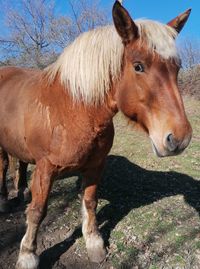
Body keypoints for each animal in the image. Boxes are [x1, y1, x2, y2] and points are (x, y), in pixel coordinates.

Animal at [0, 2, 192, 268]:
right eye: (138, 66)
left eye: (177, 68)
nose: (179, 138)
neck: (73, 108)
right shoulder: (46, 169)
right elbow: (38, 211)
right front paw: (28, 254)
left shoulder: (95, 166)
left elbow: (90, 202)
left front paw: (94, 243)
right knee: (4, 167)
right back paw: (5, 200)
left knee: (20, 165)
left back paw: (22, 192)